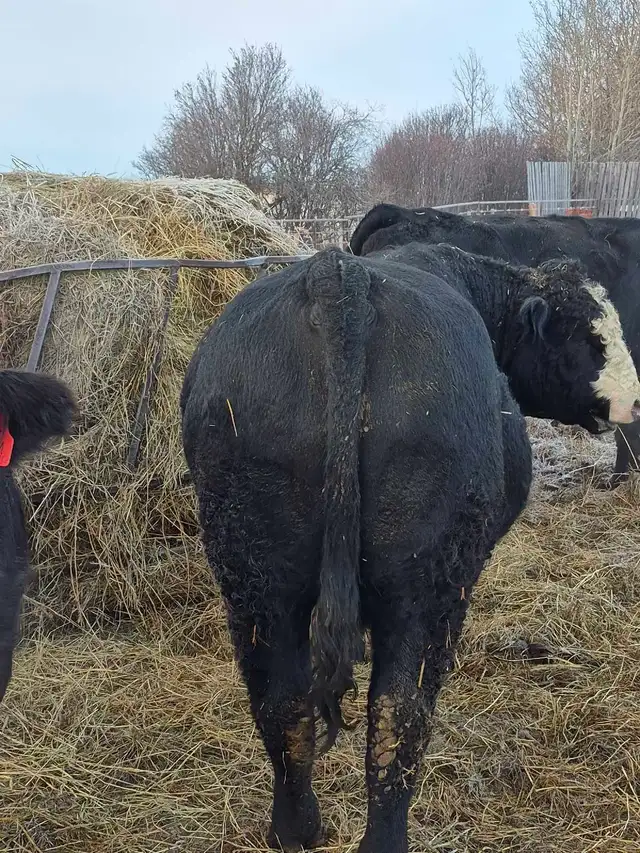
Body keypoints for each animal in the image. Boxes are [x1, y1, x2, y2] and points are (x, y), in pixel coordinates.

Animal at [180, 248, 638, 853]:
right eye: (587, 336)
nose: (633, 402)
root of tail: (339, 275)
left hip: (254, 573)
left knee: (282, 700)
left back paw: (296, 831)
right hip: (428, 586)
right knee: (401, 711)